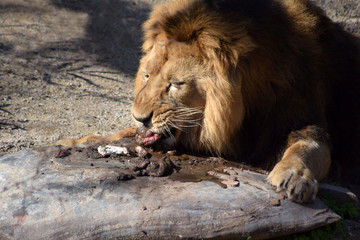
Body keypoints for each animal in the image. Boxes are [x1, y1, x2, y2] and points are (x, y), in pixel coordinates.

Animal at [57, 0, 358, 202]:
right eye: (146, 75)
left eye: (175, 84)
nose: (139, 116)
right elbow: (120, 132)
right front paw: (76, 141)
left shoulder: (306, 120)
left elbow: (306, 148)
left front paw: (294, 176)